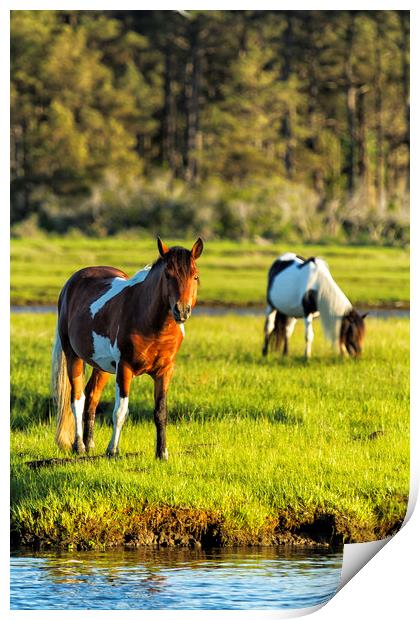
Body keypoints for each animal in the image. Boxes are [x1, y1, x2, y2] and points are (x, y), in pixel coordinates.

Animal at [52, 240, 203, 458]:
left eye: (195, 276)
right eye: (168, 275)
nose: (182, 311)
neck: (150, 322)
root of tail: (71, 283)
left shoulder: (165, 372)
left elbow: (161, 412)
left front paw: (162, 454)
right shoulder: (124, 368)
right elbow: (120, 411)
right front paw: (113, 450)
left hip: (102, 367)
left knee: (92, 397)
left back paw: (90, 444)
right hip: (74, 357)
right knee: (78, 399)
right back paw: (79, 445)